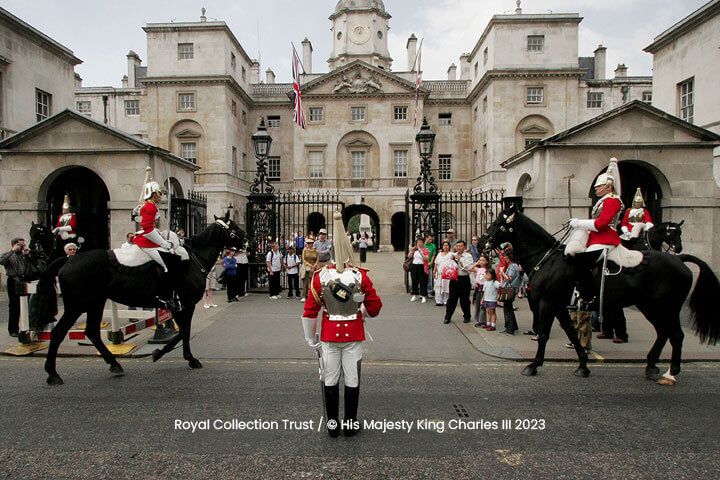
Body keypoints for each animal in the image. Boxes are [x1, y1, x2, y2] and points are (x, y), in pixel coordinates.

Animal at [42, 215, 245, 386]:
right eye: (234, 228)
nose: (247, 242)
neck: (192, 260)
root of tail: (68, 260)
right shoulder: (184, 304)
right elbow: (184, 331)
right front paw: (175, 356)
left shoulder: (179, 306)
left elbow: (183, 331)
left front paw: (170, 354)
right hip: (76, 305)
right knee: (58, 333)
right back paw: (53, 374)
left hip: (95, 303)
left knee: (92, 332)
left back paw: (114, 365)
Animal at [484, 205, 720, 382]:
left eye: (496, 224)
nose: (481, 242)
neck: (546, 259)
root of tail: (679, 260)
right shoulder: (559, 306)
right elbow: (572, 334)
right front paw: (582, 366)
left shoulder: (547, 303)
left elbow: (543, 335)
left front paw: (533, 365)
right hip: (651, 306)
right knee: (664, 333)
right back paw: (652, 366)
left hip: (663, 307)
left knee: (675, 334)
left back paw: (670, 372)